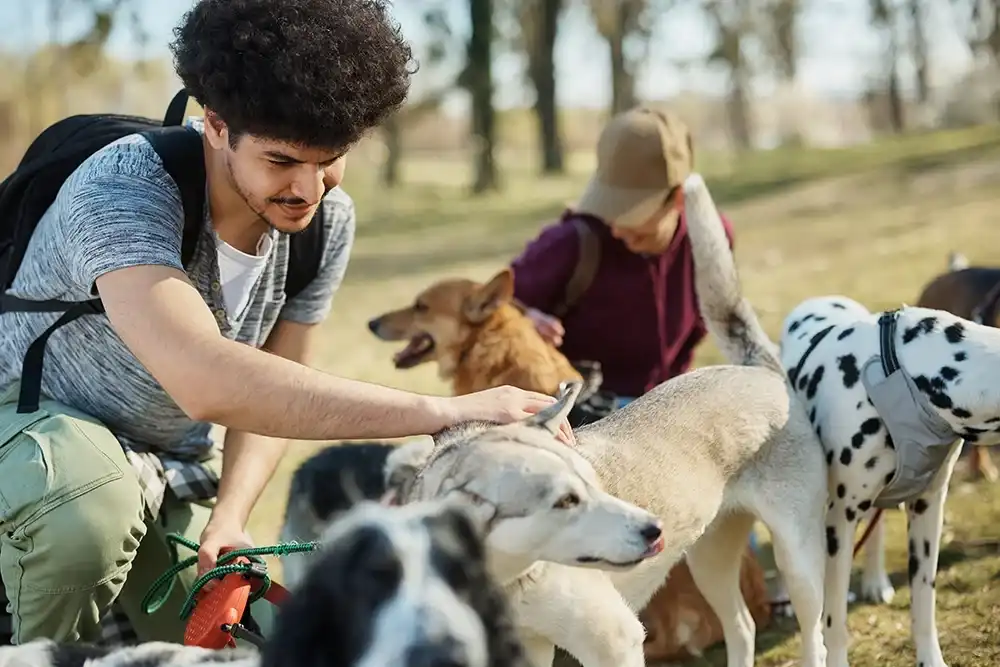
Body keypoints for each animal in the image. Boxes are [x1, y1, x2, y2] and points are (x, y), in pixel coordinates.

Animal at [780, 298, 1000, 667]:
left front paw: (930, 660)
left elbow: (924, 604)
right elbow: (834, 621)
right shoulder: (840, 520)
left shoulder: (927, 508)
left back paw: (875, 580)